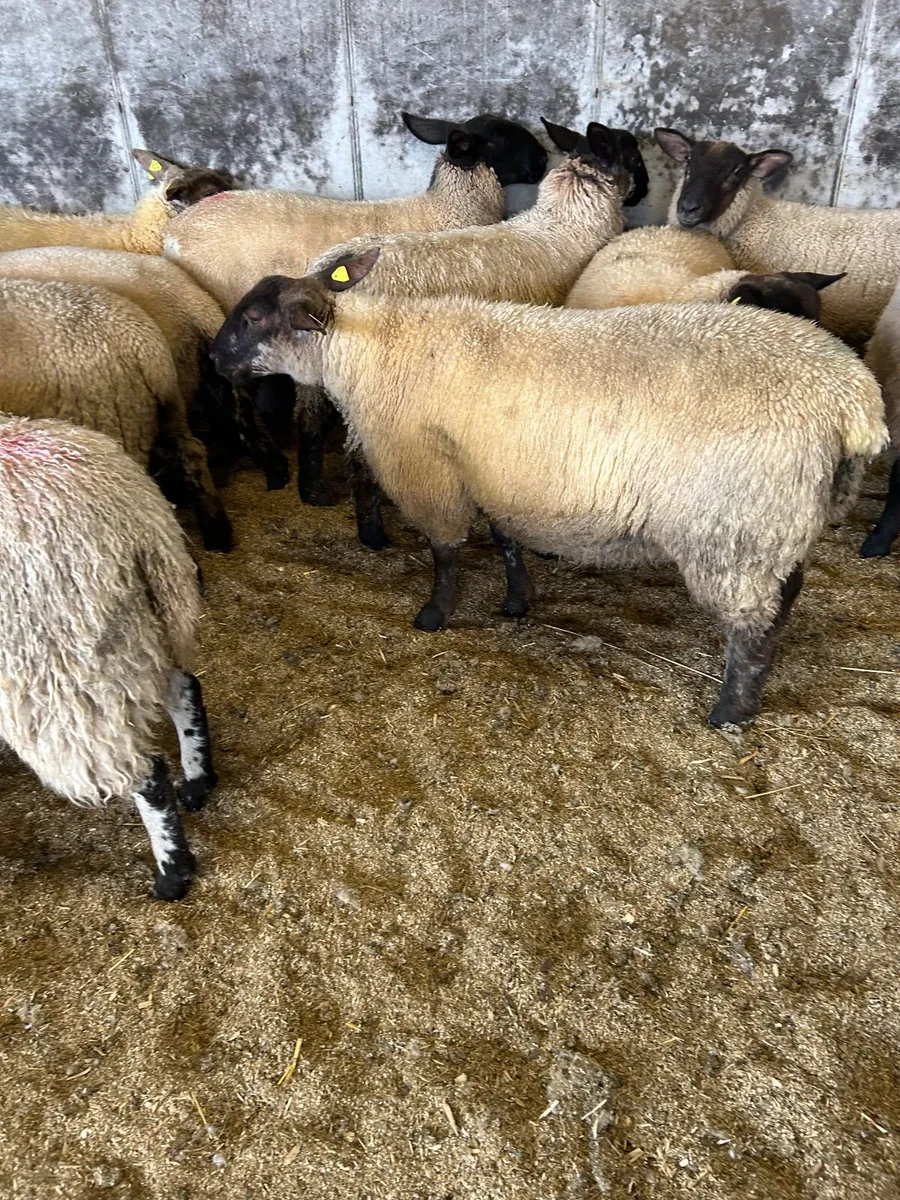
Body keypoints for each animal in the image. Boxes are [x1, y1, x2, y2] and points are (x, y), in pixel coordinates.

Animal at [0, 414, 216, 899]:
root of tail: (132, 517)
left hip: (57, 668)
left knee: (146, 774)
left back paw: (172, 874)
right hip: (137, 633)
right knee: (184, 690)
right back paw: (197, 782)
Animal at [210, 251, 886, 728]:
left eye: (254, 318)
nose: (213, 361)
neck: (366, 352)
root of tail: (853, 403)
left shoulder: (429, 471)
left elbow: (446, 552)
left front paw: (433, 616)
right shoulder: (494, 471)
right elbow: (505, 537)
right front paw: (516, 601)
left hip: (737, 528)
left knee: (753, 629)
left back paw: (729, 713)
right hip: (776, 524)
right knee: (784, 597)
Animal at [305, 119, 646, 550]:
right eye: (634, 156)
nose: (645, 191)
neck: (562, 228)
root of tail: (329, 271)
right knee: (361, 460)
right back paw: (374, 535)